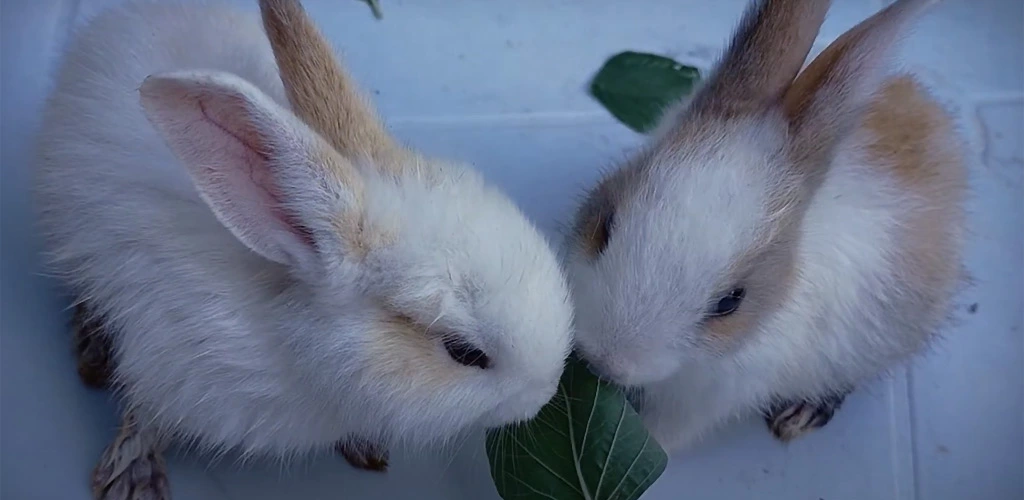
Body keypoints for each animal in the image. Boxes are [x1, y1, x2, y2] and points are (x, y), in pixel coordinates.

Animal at [32, 0, 573, 495]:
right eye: (465, 353)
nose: (543, 396)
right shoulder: (161, 360)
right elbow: (144, 414)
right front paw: (132, 477)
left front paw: (365, 445)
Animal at [569, 0, 966, 452]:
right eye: (606, 225)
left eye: (730, 302)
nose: (606, 361)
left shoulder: (714, 397)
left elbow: (667, 433)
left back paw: (799, 416)